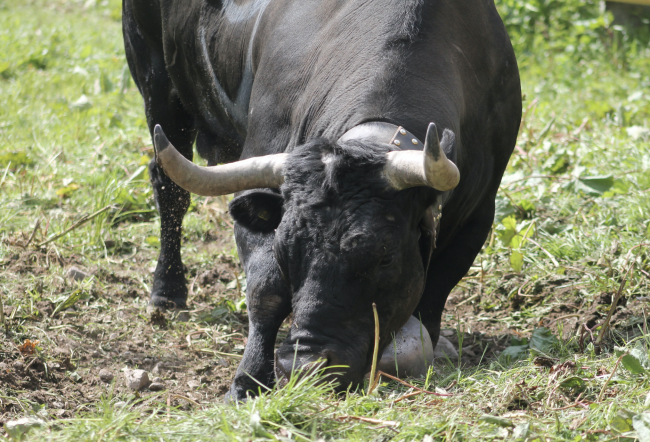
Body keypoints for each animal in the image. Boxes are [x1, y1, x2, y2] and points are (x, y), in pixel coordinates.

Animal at [123, 0, 520, 400]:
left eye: (385, 257)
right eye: (285, 251)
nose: (304, 366)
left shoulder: (478, 214)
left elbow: (429, 308)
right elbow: (265, 290)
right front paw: (247, 380)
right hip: (156, 82)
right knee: (170, 191)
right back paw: (167, 293)